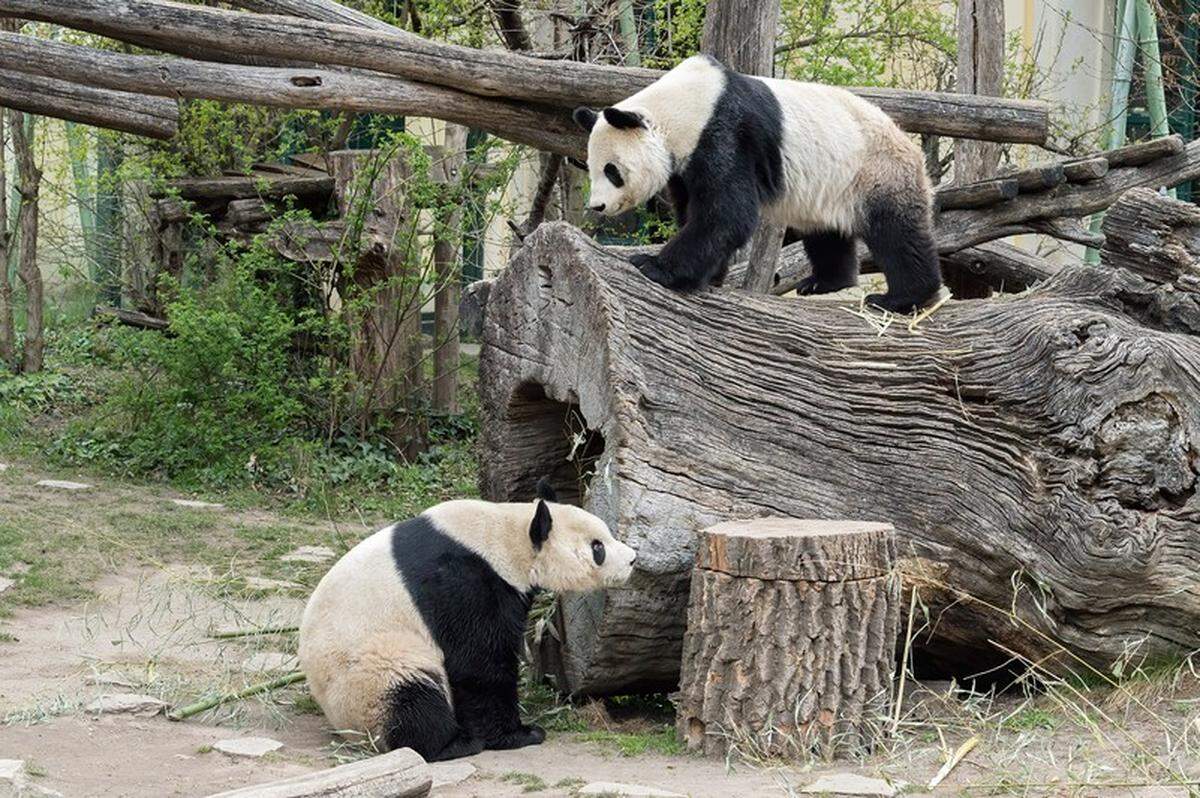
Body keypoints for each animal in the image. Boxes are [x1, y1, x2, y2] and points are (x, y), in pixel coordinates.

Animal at [300, 480, 638, 758]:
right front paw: (520, 734)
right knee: (411, 698)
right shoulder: (461, 582)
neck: (505, 537)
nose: (633, 559)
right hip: (372, 670)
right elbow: (479, 662)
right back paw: (453, 744)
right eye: (597, 547)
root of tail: (350, 732)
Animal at [576, 53, 940, 312]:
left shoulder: (725, 133)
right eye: (592, 168)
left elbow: (727, 213)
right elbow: (695, 210)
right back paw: (824, 283)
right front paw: (711, 275)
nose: (598, 206)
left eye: (612, 171)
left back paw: (902, 299)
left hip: (877, 170)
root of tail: (909, 144)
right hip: (832, 187)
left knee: (897, 234)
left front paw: (652, 266)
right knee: (826, 234)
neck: (682, 108)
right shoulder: (685, 162)